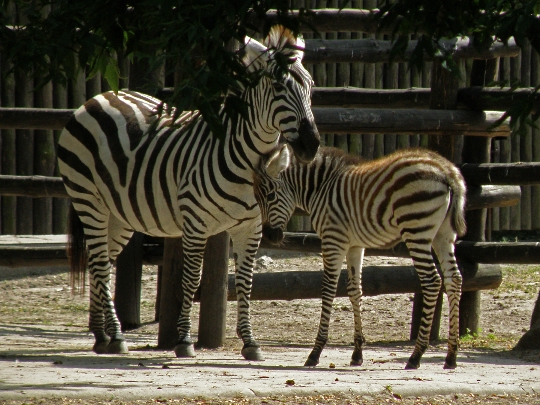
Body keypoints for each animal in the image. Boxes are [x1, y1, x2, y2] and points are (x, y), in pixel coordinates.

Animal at [58, 25, 320, 360]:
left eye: (311, 86)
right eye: (277, 87)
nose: (311, 144)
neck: (245, 161)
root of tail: (98, 97)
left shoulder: (251, 227)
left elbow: (246, 282)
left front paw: (250, 343)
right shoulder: (196, 222)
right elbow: (192, 279)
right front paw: (183, 341)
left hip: (118, 214)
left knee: (98, 262)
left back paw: (101, 336)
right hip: (88, 199)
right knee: (102, 265)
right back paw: (116, 335)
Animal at [255, 145, 466, 370]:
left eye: (270, 195)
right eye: (257, 197)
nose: (269, 236)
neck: (321, 188)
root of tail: (447, 171)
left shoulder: (333, 239)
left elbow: (328, 289)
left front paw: (315, 352)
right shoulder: (355, 245)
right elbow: (354, 290)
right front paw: (357, 353)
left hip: (416, 230)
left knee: (432, 281)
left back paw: (416, 355)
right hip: (443, 235)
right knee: (454, 279)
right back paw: (451, 355)